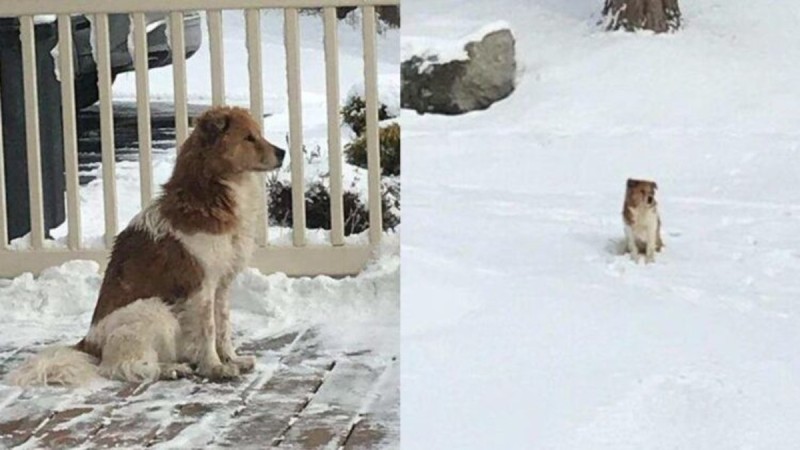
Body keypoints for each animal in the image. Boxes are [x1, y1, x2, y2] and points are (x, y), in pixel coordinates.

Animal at [6, 105, 286, 386]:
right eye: (248, 138)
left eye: (258, 134)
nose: (282, 152)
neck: (209, 194)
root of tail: (89, 345)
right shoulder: (202, 286)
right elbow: (208, 329)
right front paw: (215, 367)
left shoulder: (222, 285)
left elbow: (224, 326)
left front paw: (231, 359)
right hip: (153, 309)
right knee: (120, 367)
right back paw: (171, 369)